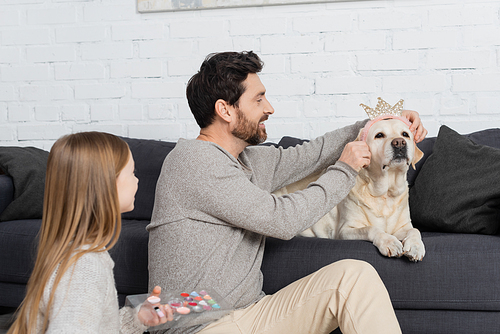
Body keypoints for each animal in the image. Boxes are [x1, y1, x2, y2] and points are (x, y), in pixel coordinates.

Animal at [274, 118, 426, 262]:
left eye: (405, 134)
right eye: (379, 135)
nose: (399, 143)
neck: (385, 194)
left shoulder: (403, 227)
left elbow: (415, 230)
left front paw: (415, 247)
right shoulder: (345, 230)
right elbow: (371, 228)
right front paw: (389, 242)